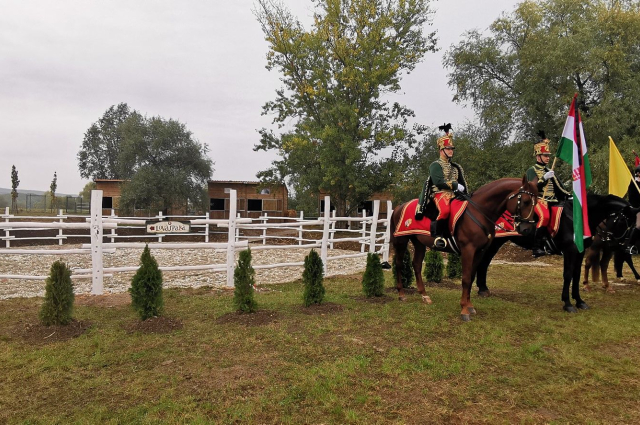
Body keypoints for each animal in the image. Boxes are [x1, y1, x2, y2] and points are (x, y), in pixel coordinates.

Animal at [390, 176, 540, 322]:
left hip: (419, 243)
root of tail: (400, 206)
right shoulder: (468, 250)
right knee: (398, 264)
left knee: (416, 264)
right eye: (526, 201)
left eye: (537, 202)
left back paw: (424, 295)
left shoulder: (479, 252)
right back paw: (401, 294)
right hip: (401, 241)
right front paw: (464, 309)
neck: (479, 213)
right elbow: (466, 278)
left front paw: (470, 306)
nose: (527, 229)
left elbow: (472, 277)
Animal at [476, 193, 632, 312]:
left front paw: (579, 301)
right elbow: (568, 275)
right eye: (624, 221)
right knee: (484, 262)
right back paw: (482, 289)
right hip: (496, 241)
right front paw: (568, 304)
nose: (626, 246)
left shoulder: (580, 252)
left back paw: (483, 288)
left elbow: (576, 274)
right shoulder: (570, 250)